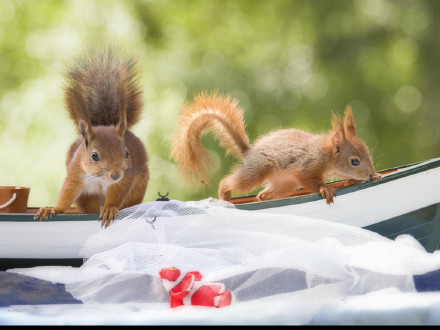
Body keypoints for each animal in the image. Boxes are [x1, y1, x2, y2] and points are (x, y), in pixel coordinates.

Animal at [35, 46, 149, 227]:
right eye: (94, 156)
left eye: (126, 153)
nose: (115, 175)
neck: (100, 178)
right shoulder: (75, 173)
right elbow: (66, 193)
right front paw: (52, 209)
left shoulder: (123, 180)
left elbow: (117, 194)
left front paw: (109, 208)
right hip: (86, 198)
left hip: (138, 187)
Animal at [170, 91, 380, 202]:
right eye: (354, 161)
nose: (370, 174)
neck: (326, 155)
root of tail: (249, 152)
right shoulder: (306, 165)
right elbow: (310, 181)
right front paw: (325, 189)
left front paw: (362, 178)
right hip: (257, 171)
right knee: (231, 182)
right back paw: (224, 196)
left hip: (285, 184)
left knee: (263, 195)